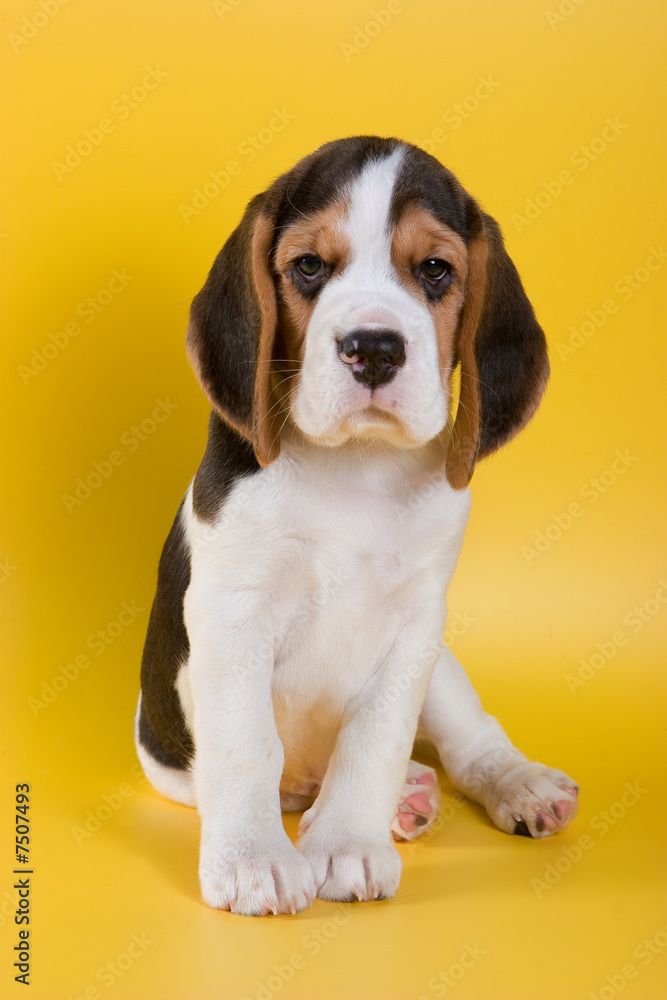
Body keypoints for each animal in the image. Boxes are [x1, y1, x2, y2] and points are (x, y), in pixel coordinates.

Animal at [136, 137, 580, 916]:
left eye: (434, 270)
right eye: (309, 266)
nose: (373, 348)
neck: (356, 469)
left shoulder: (415, 628)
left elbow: (375, 741)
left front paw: (347, 844)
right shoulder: (232, 614)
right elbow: (248, 747)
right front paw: (252, 859)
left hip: (443, 668)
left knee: (470, 738)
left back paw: (510, 785)